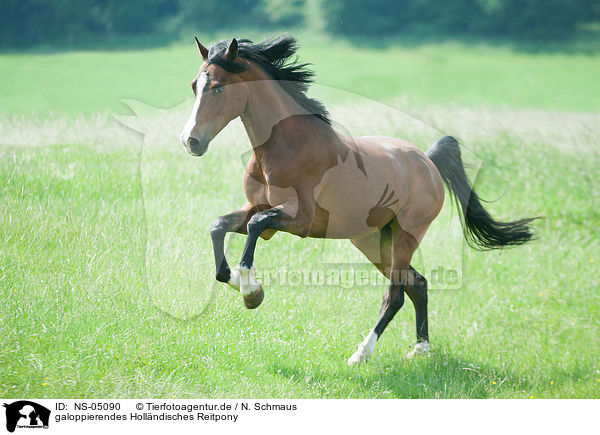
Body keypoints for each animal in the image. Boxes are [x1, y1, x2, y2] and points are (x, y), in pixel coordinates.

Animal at [178, 35, 536, 366]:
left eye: (218, 88)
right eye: (195, 85)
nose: (190, 141)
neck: (287, 144)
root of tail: (429, 162)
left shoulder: (298, 219)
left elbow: (253, 226)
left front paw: (251, 291)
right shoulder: (259, 208)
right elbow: (219, 226)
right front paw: (241, 284)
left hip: (405, 236)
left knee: (395, 294)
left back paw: (361, 354)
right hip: (373, 240)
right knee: (417, 284)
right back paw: (420, 349)